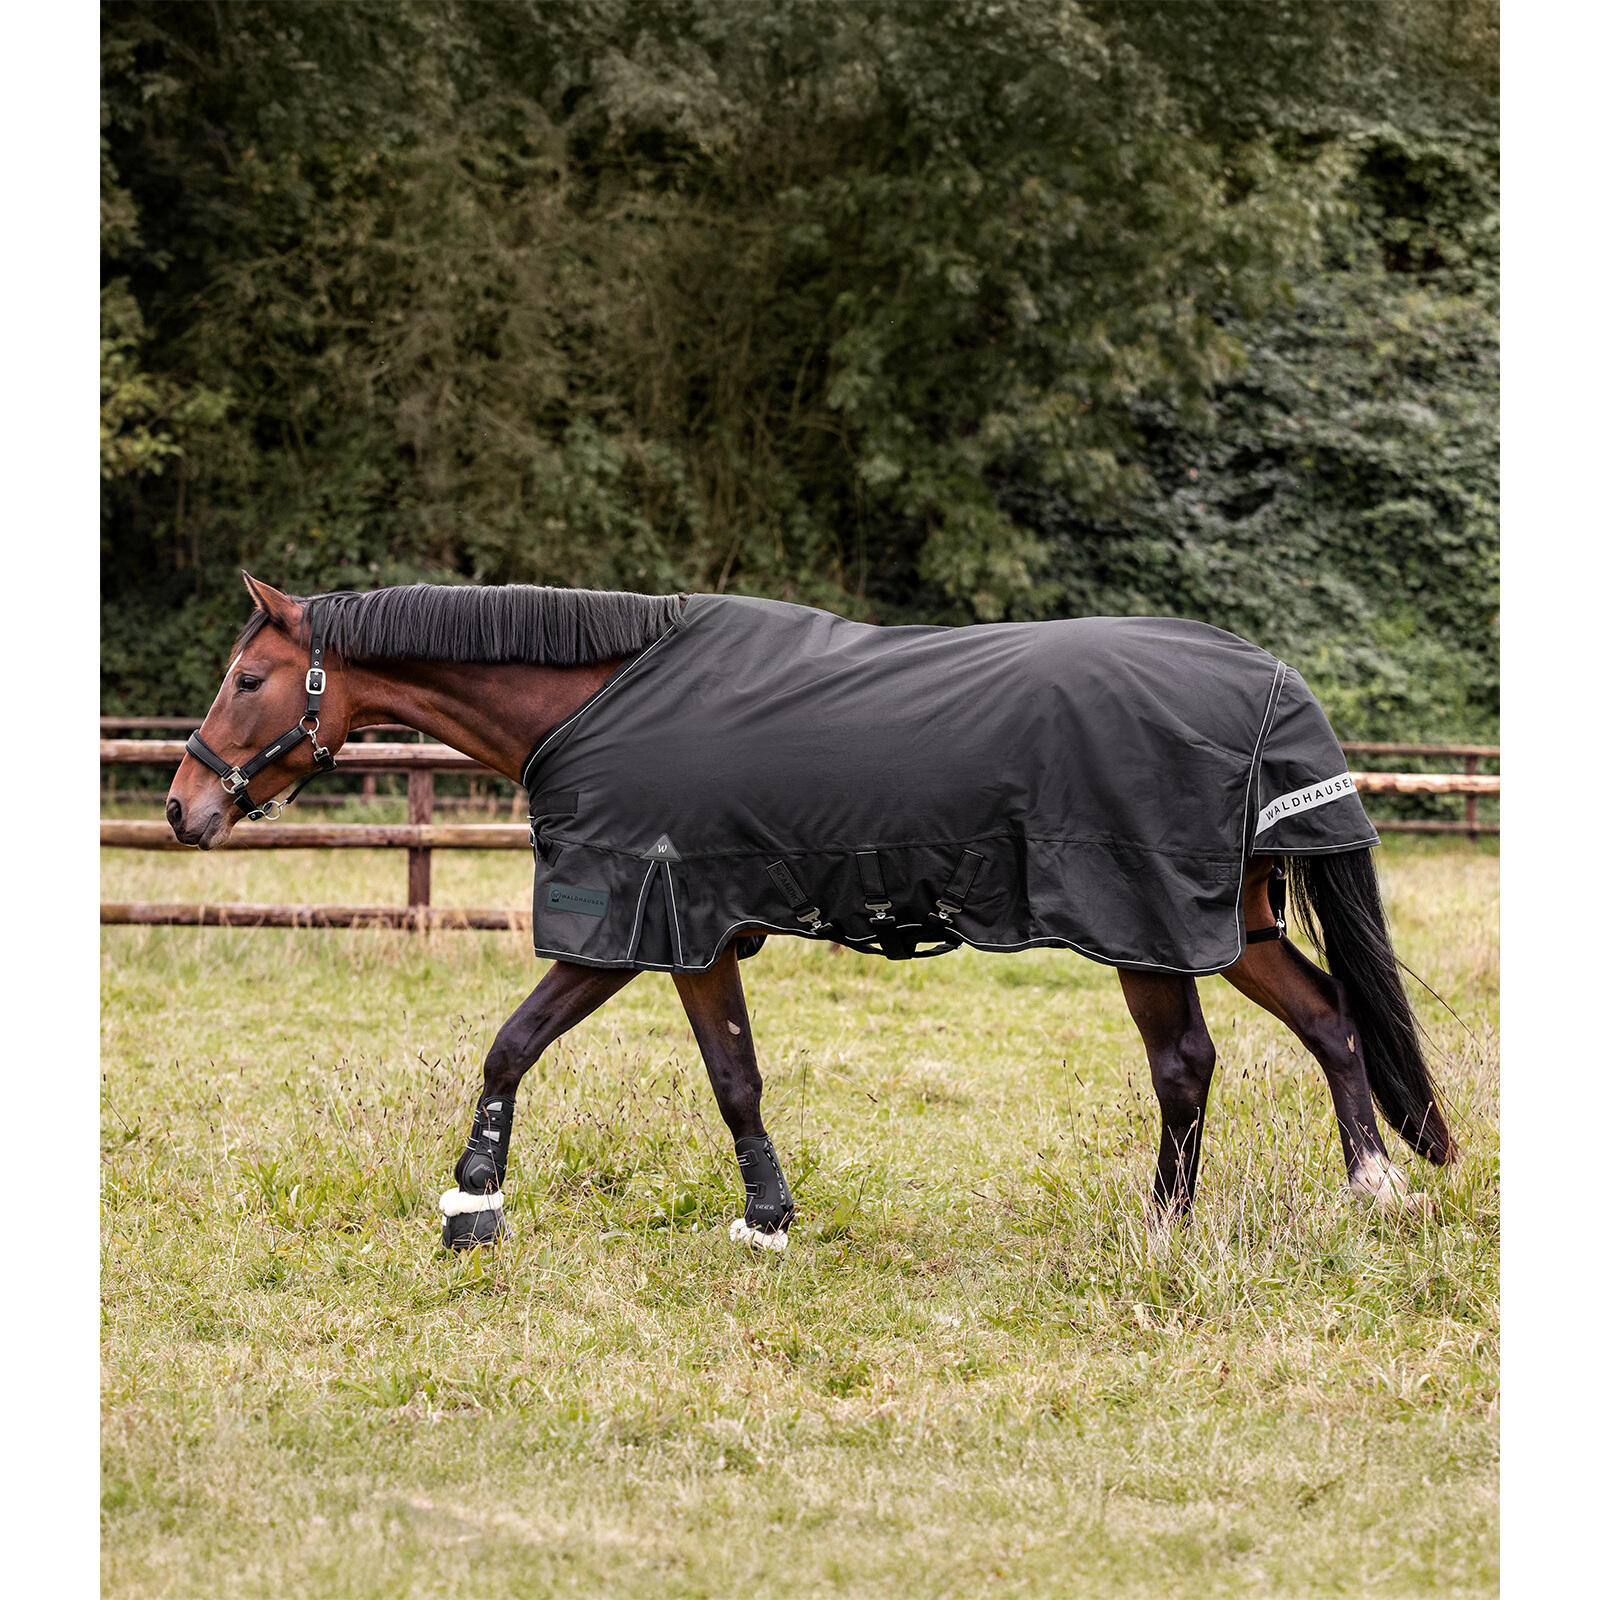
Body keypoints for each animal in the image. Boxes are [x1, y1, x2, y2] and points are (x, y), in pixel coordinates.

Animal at [165, 574, 1455, 1251]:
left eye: (245, 679)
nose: (183, 806)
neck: (597, 700)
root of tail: (1267, 681)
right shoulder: (696, 936)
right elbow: (729, 1075)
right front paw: (766, 1215)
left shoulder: (638, 926)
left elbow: (515, 1043)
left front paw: (472, 1199)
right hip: (1233, 925)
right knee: (1331, 1020)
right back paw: (1371, 1187)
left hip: (1149, 926)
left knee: (1186, 1063)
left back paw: (1164, 1227)